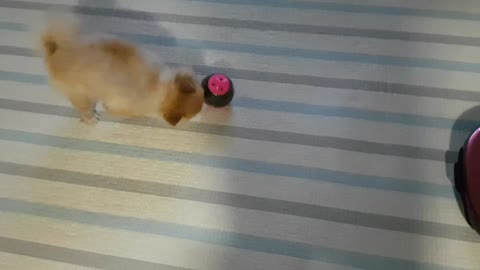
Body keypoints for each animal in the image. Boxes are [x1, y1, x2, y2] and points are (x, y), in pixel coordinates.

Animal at [38, 16, 202, 125]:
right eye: (194, 114)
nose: (201, 109)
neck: (163, 88)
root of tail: (55, 50)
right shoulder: (121, 105)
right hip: (79, 94)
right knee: (84, 108)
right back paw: (91, 119)